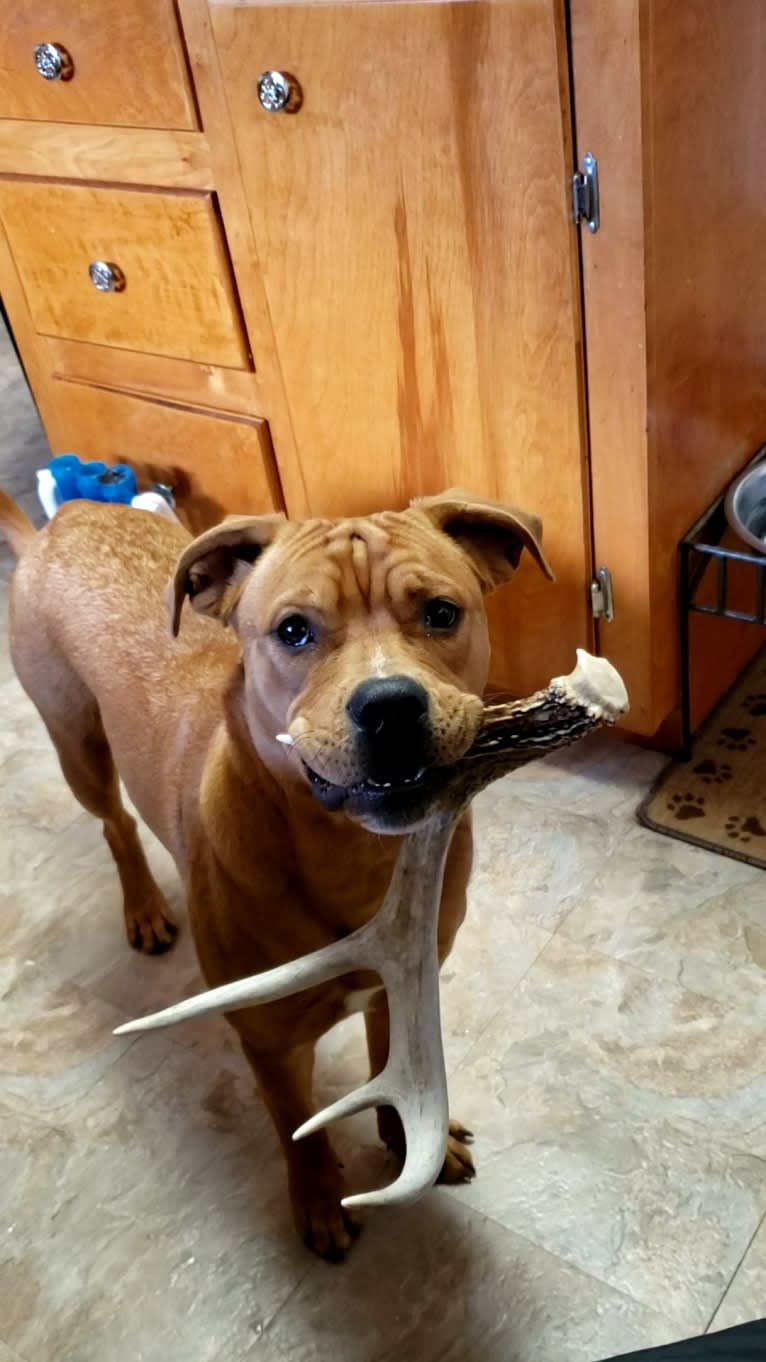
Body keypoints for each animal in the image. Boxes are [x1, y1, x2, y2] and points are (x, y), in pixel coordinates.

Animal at [0, 484, 547, 1258]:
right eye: (293, 631)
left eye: (442, 613)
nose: (389, 705)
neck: (358, 857)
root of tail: (60, 522)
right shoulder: (270, 1040)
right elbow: (297, 1129)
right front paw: (318, 1201)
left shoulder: (404, 986)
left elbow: (392, 1067)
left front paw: (415, 1143)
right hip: (76, 742)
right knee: (115, 825)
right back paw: (144, 907)